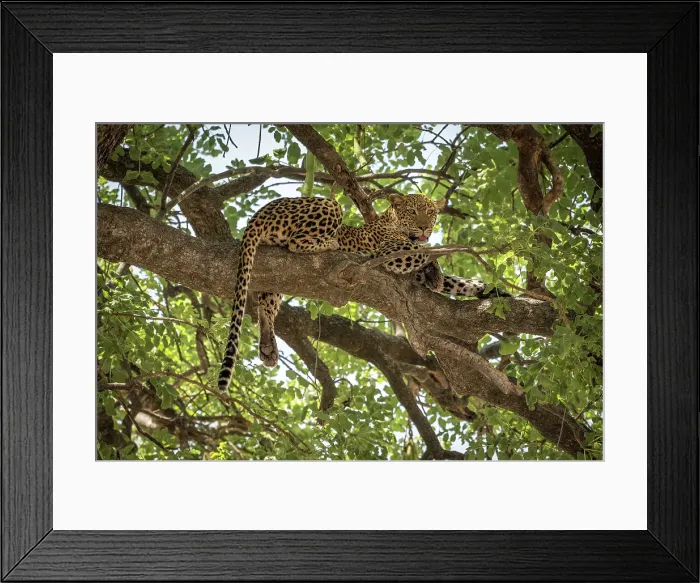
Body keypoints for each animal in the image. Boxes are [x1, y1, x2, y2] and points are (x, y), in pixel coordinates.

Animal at [217, 193, 505, 393]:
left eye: (431, 213)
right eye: (413, 212)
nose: (425, 227)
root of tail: (259, 213)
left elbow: (456, 281)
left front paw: (491, 291)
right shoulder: (390, 253)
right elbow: (423, 252)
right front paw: (435, 264)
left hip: (275, 273)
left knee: (267, 305)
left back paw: (268, 346)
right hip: (330, 207)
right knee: (298, 242)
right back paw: (332, 243)